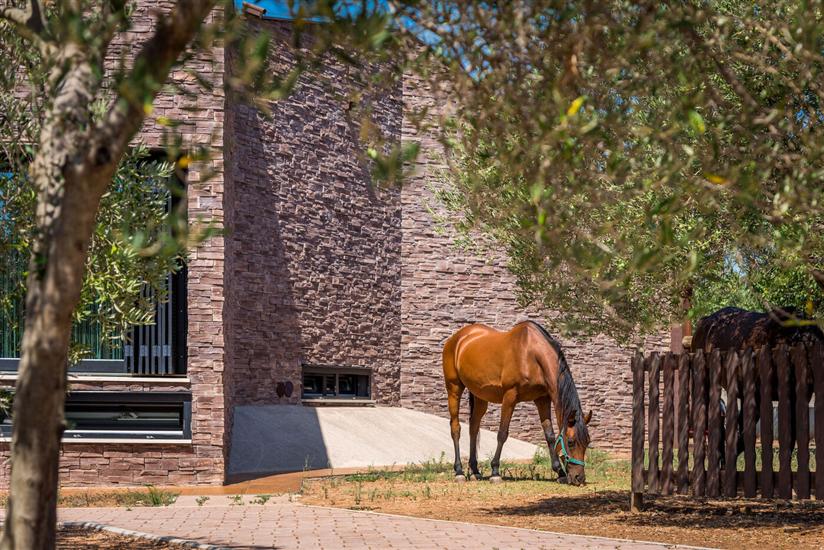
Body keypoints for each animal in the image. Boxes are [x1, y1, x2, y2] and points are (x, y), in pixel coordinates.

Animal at [442, 320, 592, 486]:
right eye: (571, 442)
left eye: (587, 442)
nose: (579, 478)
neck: (530, 354)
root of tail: (457, 339)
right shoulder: (510, 396)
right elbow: (502, 434)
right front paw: (495, 471)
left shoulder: (542, 399)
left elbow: (550, 435)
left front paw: (559, 472)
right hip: (454, 389)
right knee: (455, 428)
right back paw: (459, 472)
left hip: (480, 396)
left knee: (473, 428)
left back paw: (475, 471)